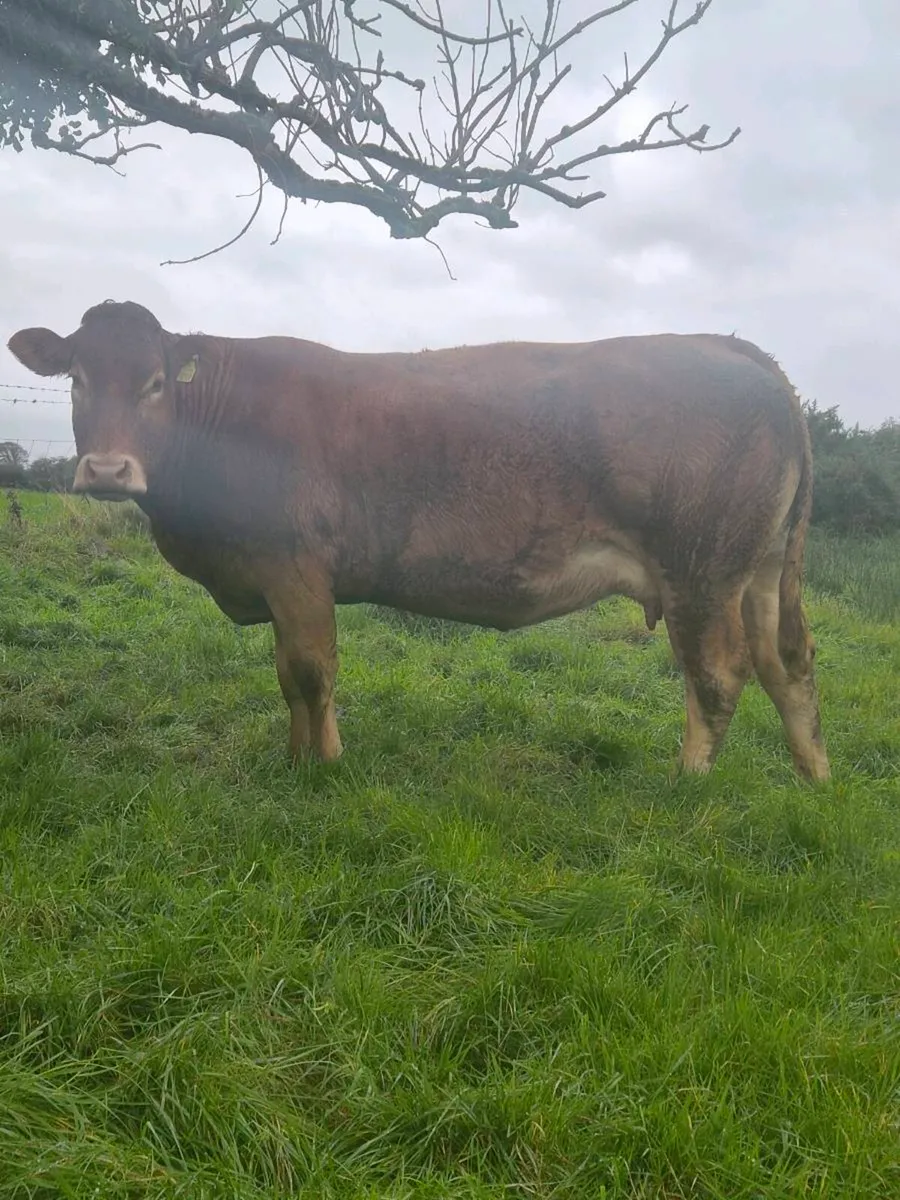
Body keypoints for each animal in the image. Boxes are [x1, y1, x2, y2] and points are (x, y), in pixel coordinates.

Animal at [7, 300, 830, 782]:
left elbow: (310, 671)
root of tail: (733, 349)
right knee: (786, 664)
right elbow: (286, 676)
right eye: (77, 379)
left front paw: (323, 768)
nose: (107, 470)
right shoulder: (277, 581)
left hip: (702, 570)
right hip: (757, 572)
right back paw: (813, 778)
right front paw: (295, 759)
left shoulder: (295, 566)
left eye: (154, 383)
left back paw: (688, 785)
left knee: (719, 673)